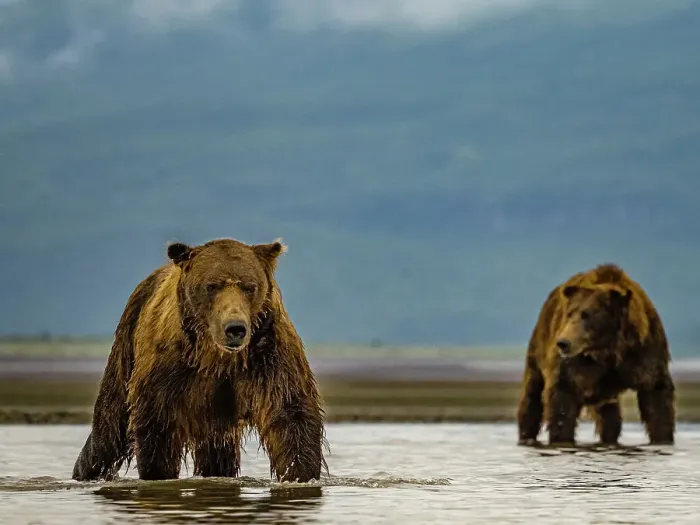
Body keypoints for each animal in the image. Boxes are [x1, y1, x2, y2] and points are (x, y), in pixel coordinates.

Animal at [72, 237, 326, 482]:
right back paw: (86, 471)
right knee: (110, 425)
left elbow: (290, 415)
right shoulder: (169, 369)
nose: (235, 328)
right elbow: (157, 425)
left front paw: (299, 473)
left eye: (250, 287)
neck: (216, 357)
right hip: (127, 343)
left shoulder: (268, 355)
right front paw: (158, 473)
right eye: (211, 286)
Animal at [516, 263, 675, 447]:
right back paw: (527, 436)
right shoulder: (573, 366)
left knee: (610, 417)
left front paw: (662, 439)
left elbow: (656, 398)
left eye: (587, 315)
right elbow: (562, 400)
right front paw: (562, 439)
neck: (609, 350)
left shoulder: (645, 354)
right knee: (532, 395)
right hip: (538, 346)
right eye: (569, 313)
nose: (563, 342)